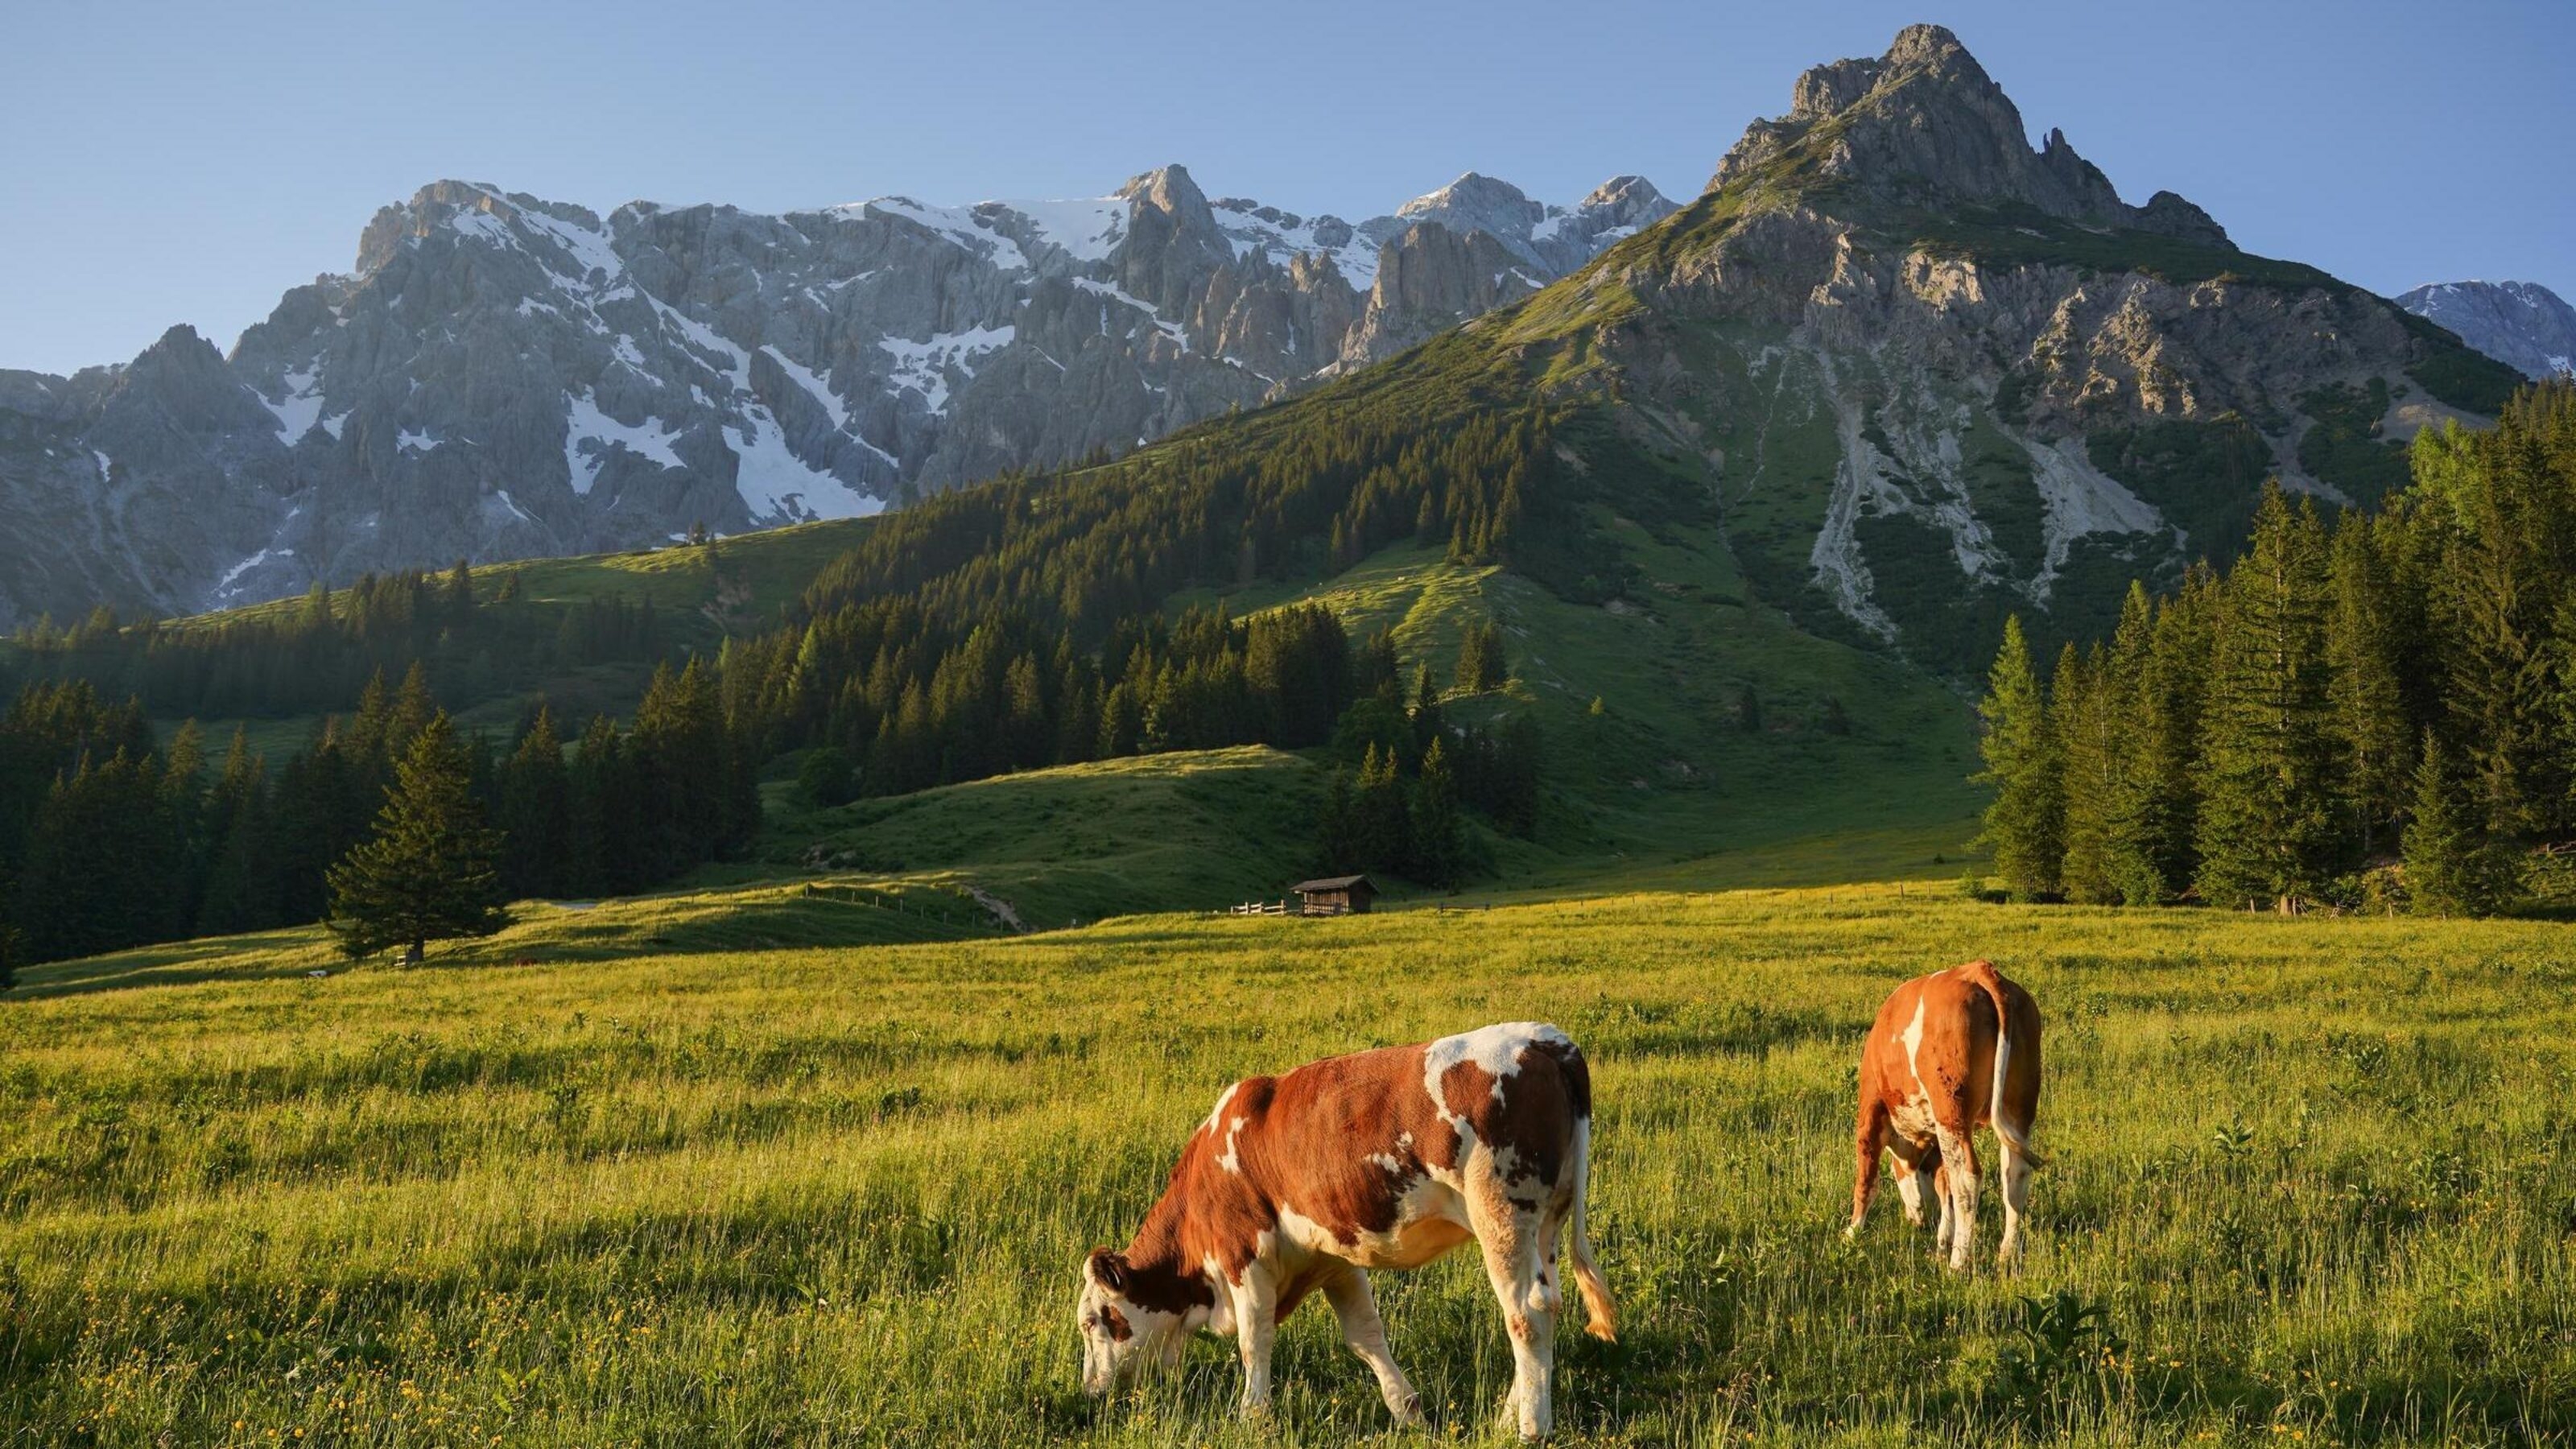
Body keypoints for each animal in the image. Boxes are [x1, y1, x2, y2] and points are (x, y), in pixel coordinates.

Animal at [1075, 1022, 1616, 1440]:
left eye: (1092, 1322)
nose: (1090, 1392)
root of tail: (1546, 1039)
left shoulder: (1244, 1257)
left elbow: (1254, 1341)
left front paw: (1252, 1417)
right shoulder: (1335, 1260)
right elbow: (1365, 1336)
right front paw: (1408, 1412)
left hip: (1502, 1217)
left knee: (1526, 1313)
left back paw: (1529, 1428)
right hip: (1546, 1223)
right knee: (1547, 1302)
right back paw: (1508, 1416)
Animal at [1844, 959, 2044, 1271]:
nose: (1917, 1221)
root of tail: (1977, 969)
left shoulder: (1871, 1110)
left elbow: (1866, 1178)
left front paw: (1851, 1235)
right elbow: (1943, 1184)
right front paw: (1941, 1243)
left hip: (1951, 1110)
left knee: (1967, 1178)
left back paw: (1958, 1261)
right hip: (2018, 1109)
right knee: (2015, 1175)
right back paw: (2007, 1253)